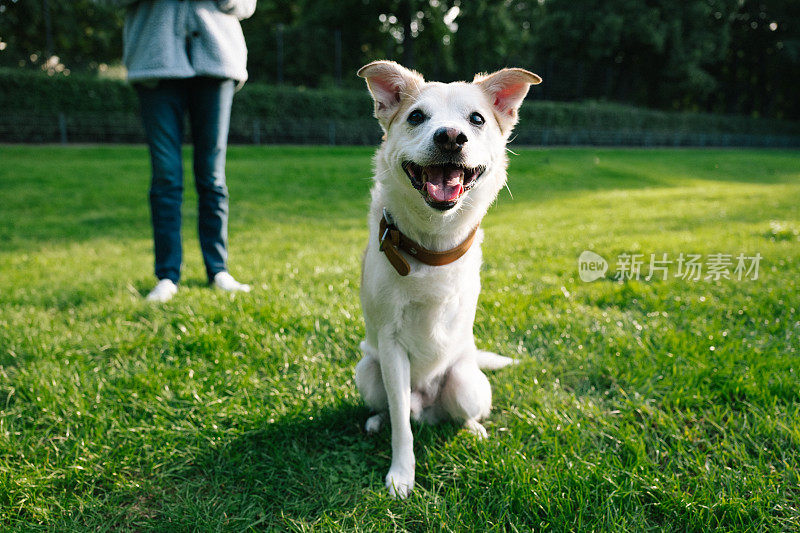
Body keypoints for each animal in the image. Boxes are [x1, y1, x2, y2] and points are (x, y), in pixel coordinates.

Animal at [356, 60, 544, 496]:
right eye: (415, 117)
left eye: (476, 119)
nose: (451, 137)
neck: (432, 244)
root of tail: (428, 407)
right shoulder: (390, 347)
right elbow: (401, 426)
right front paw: (401, 473)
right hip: (368, 371)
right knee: (396, 410)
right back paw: (377, 421)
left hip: (465, 382)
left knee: (463, 411)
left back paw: (473, 429)